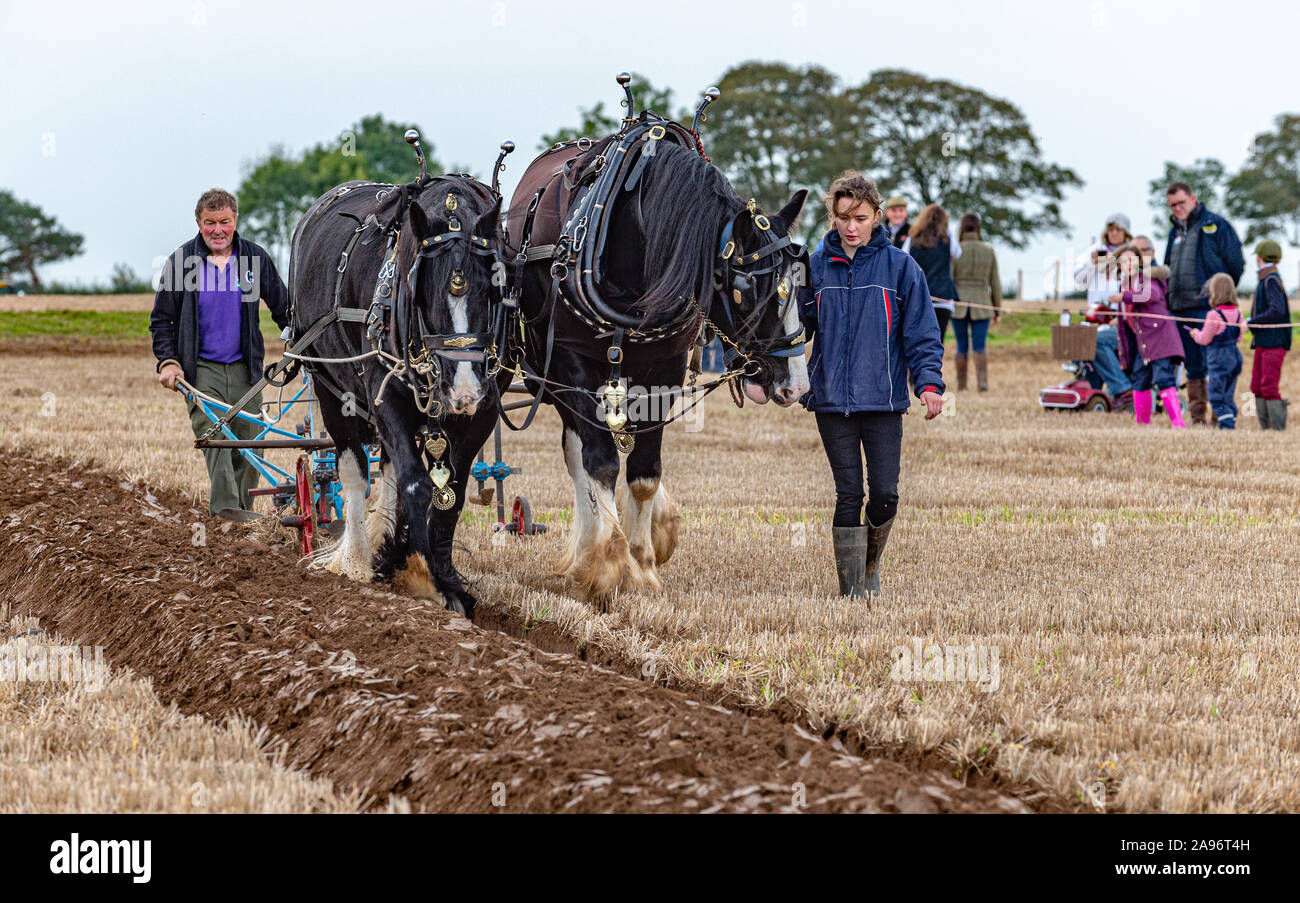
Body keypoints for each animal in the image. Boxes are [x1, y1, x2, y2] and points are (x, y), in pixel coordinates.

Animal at [289, 172, 506, 618]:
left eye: (490, 289)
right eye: (424, 292)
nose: (464, 391)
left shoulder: (482, 414)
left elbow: (450, 495)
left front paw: (443, 578)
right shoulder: (383, 395)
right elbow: (417, 486)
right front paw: (427, 578)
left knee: (388, 468)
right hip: (330, 386)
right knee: (354, 470)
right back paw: (356, 561)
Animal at [504, 113, 800, 608]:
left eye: (799, 283)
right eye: (745, 289)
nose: (794, 383)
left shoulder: (665, 370)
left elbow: (644, 473)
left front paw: (642, 564)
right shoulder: (573, 366)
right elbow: (601, 463)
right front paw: (608, 566)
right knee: (579, 453)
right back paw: (587, 553)